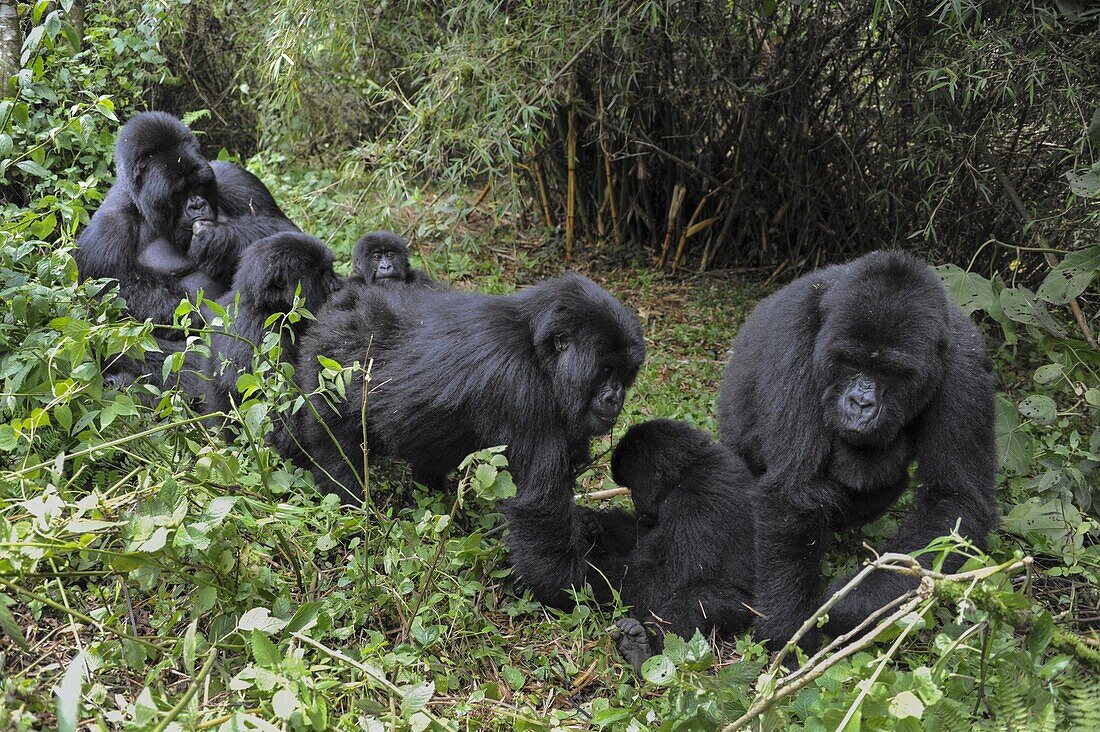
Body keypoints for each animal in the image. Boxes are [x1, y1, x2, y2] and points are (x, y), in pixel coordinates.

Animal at [73, 111, 299, 334]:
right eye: (179, 192)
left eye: (198, 185)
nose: (197, 205)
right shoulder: (106, 230)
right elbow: (115, 295)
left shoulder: (235, 179)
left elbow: (285, 233)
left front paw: (221, 240)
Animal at [294, 274, 651, 603]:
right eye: (605, 370)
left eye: (623, 374)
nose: (615, 398)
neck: (535, 345)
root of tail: (341, 307)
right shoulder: (519, 387)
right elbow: (540, 506)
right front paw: (576, 589)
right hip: (327, 365)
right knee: (337, 450)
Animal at [585, 420, 756, 669]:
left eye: (633, 489)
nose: (636, 501)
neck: (691, 468)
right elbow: (642, 532)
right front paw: (592, 525)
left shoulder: (693, 505)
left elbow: (662, 580)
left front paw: (591, 571)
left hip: (746, 608)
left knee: (695, 601)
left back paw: (643, 652)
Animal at [717, 249, 1003, 651]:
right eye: (850, 362)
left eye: (891, 371)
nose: (861, 403)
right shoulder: (795, 335)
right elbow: (794, 493)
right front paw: (788, 635)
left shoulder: (965, 365)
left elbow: (954, 501)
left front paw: (851, 605)